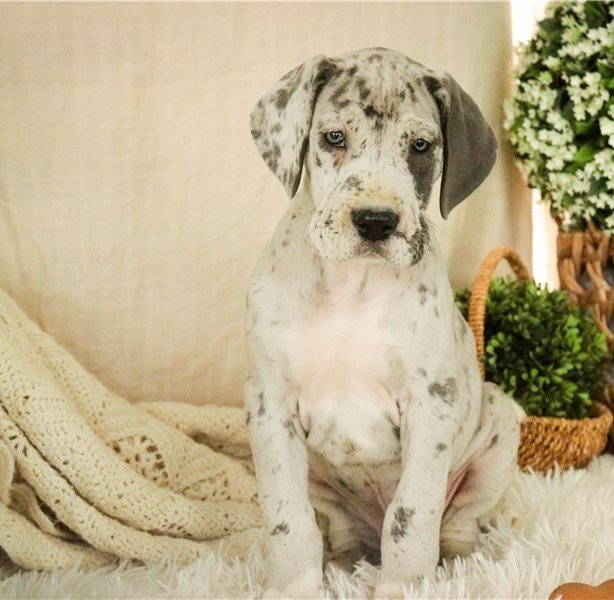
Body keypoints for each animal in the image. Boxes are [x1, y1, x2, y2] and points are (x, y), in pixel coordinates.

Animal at [245, 47, 521, 599]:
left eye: (420, 146)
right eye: (334, 137)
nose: (375, 222)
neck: (355, 284)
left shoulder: (429, 405)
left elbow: (410, 518)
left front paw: (404, 587)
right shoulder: (269, 407)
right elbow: (289, 521)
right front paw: (296, 586)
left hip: (498, 427)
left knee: (457, 520)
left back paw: (462, 562)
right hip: (322, 482)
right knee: (336, 525)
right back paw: (344, 562)